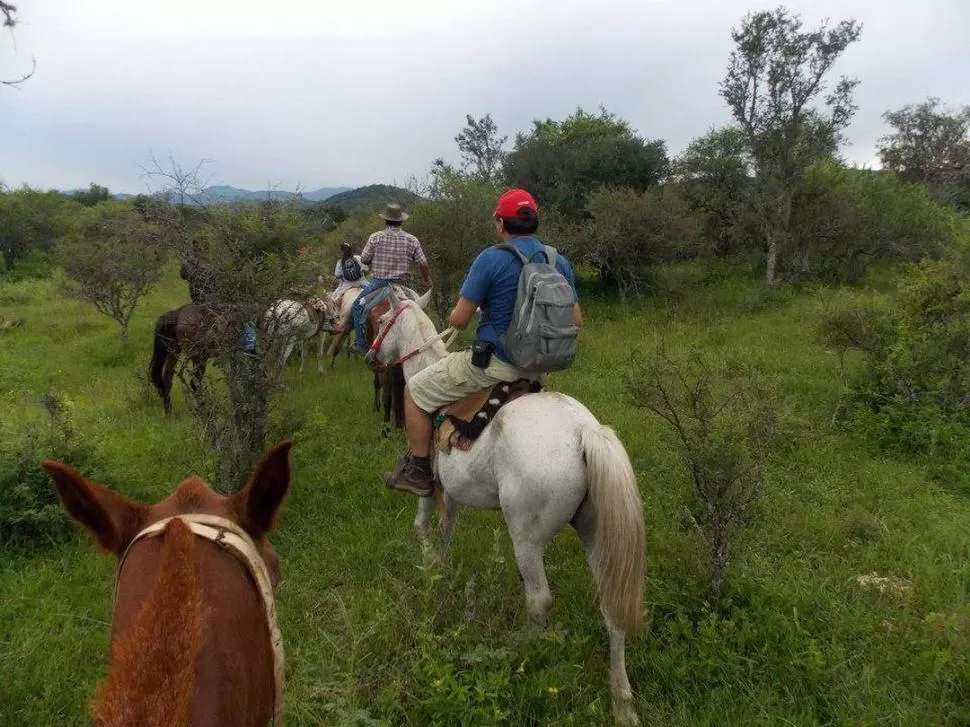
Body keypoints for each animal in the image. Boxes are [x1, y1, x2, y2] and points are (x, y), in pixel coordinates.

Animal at [368, 288, 644, 724]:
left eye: (382, 321)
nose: (371, 355)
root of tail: (585, 432)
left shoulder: (432, 491)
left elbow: (423, 527)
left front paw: (430, 571)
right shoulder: (454, 497)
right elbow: (446, 533)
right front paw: (441, 570)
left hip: (527, 539)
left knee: (540, 600)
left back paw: (524, 652)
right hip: (596, 533)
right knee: (612, 608)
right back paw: (622, 702)